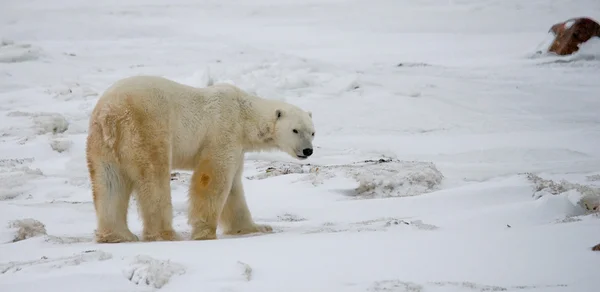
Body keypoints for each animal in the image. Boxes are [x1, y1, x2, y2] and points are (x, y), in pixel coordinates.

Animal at [88, 74, 318, 243]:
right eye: (296, 130)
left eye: (312, 132)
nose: (308, 151)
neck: (244, 114)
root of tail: (111, 114)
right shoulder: (223, 131)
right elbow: (213, 178)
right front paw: (205, 232)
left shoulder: (238, 146)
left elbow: (234, 186)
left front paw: (255, 228)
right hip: (147, 129)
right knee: (154, 178)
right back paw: (166, 234)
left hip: (102, 143)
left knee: (109, 183)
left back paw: (117, 235)